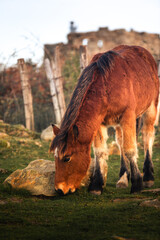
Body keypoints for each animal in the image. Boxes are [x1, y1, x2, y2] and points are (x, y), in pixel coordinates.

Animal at [50, 44, 159, 195]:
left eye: (67, 158)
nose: (59, 189)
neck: (106, 85)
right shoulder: (99, 123)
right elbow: (100, 151)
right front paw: (96, 185)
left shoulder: (127, 116)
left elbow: (130, 149)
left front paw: (137, 184)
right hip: (119, 123)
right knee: (120, 141)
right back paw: (123, 178)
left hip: (150, 108)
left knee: (147, 136)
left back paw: (148, 177)